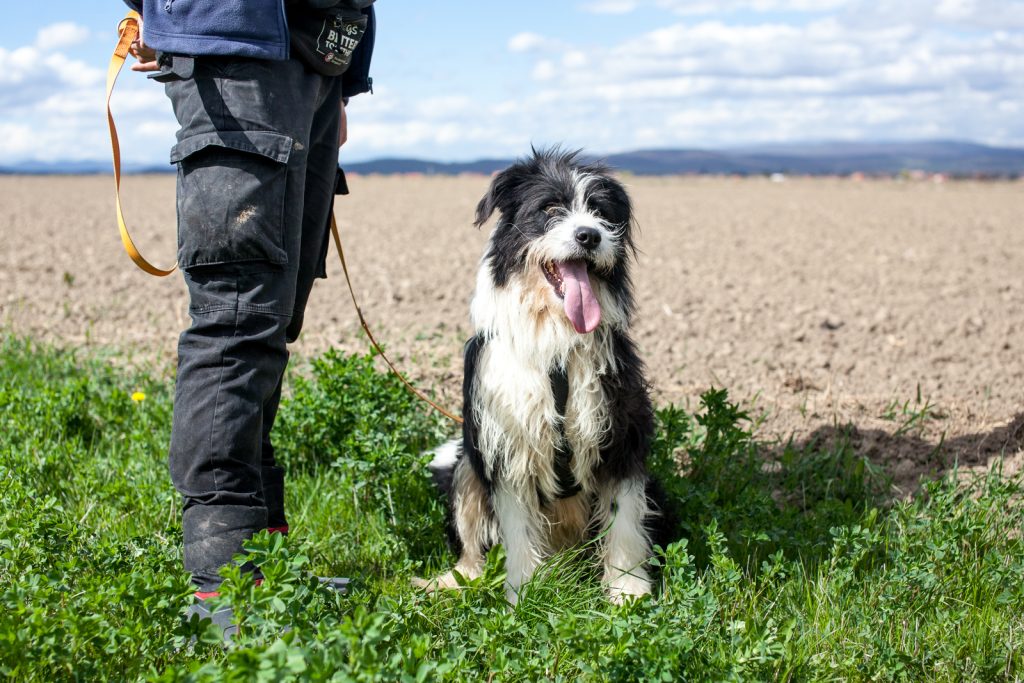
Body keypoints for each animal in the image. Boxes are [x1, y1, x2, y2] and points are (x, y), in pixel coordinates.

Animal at [421, 149, 663, 602]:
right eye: (551, 209)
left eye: (600, 211)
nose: (589, 236)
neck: (556, 340)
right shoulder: (509, 443)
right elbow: (517, 530)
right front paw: (524, 594)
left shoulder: (620, 431)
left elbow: (623, 517)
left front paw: (627, 590)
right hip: (467, 469)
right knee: (470, 542)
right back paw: (456, 581)